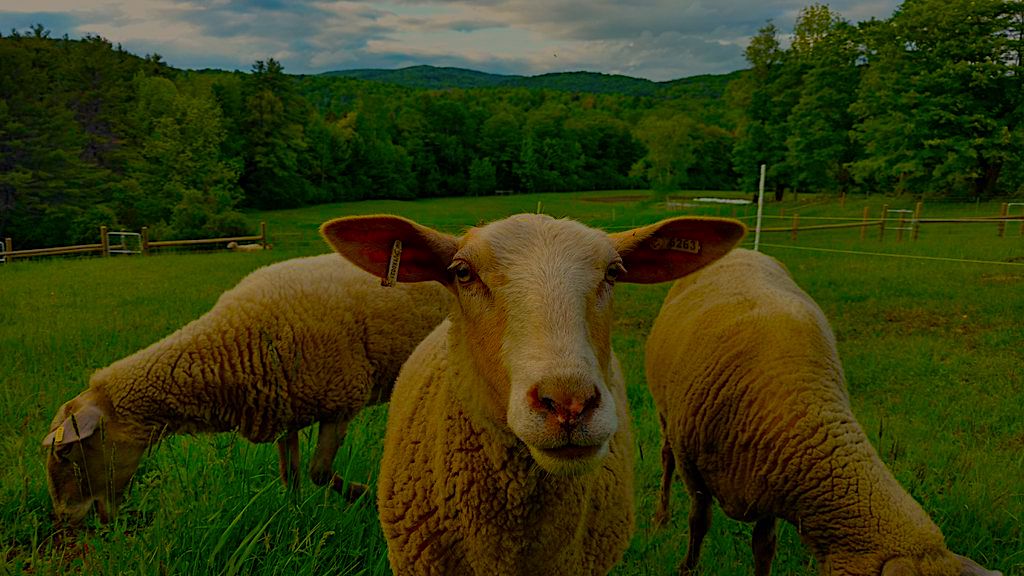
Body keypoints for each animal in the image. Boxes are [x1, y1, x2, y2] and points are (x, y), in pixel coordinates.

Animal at [42, 253, 451, 525]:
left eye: (65, 453)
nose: (65, 519)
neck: (231, 344)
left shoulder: (341, 399)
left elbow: (319, 472)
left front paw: (365, 498)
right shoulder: (286, 410)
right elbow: (292, 475)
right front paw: (294, 517)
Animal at [644, 248, 1001, 576]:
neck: (805, 411)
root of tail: (743, 249)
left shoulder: (767, 478)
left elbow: (764, 547)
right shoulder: (695, 468)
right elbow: (698, 521)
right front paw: (686, 568)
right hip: (667, 419)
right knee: (666, 459)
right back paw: (660, 517)